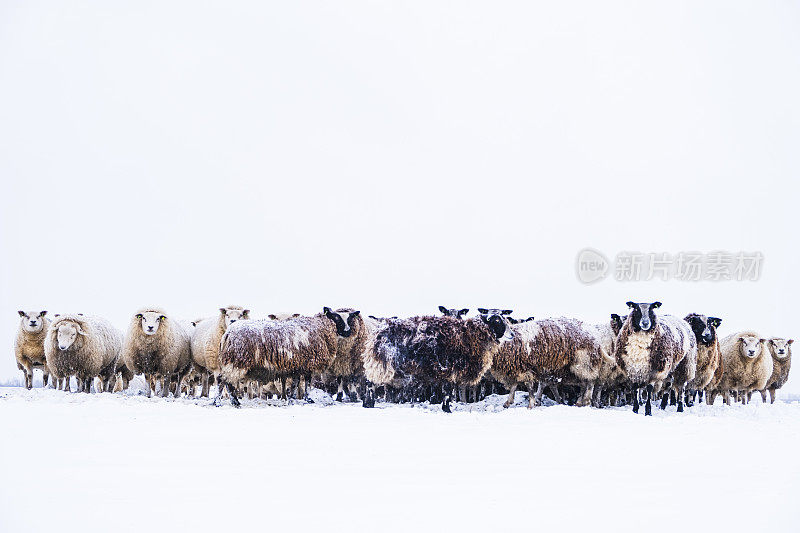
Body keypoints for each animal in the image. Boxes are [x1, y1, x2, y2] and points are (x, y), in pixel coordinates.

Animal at [217, 306, 358, 406]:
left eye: (349, 318)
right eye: (337, 317)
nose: (347, 331)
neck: (320, 327)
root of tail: (227, 333)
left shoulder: (299, 364)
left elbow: (297, 383)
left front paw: (293, 398)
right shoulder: (309, 362)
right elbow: (306, 383)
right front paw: (307, 399)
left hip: (232, 361)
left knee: (225, 381)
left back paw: (229, 401)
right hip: (236, 361)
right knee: (223, 381)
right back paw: (227, 402)